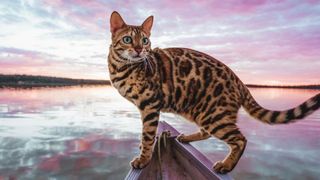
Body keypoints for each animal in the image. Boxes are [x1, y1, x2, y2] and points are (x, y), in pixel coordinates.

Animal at [107, 10, 320, 173]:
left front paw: (143, 159)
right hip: (198, 110)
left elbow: (148, 135)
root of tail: (240, 82)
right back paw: (186, 137)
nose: (139, 50)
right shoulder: (145, 107)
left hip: (214, 115)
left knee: (240, 139)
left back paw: (227, 165)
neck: (121, 67)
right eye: (128, 39)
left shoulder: (150, 105)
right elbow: (145, 135)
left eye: (145, 40)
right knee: (207, 132)